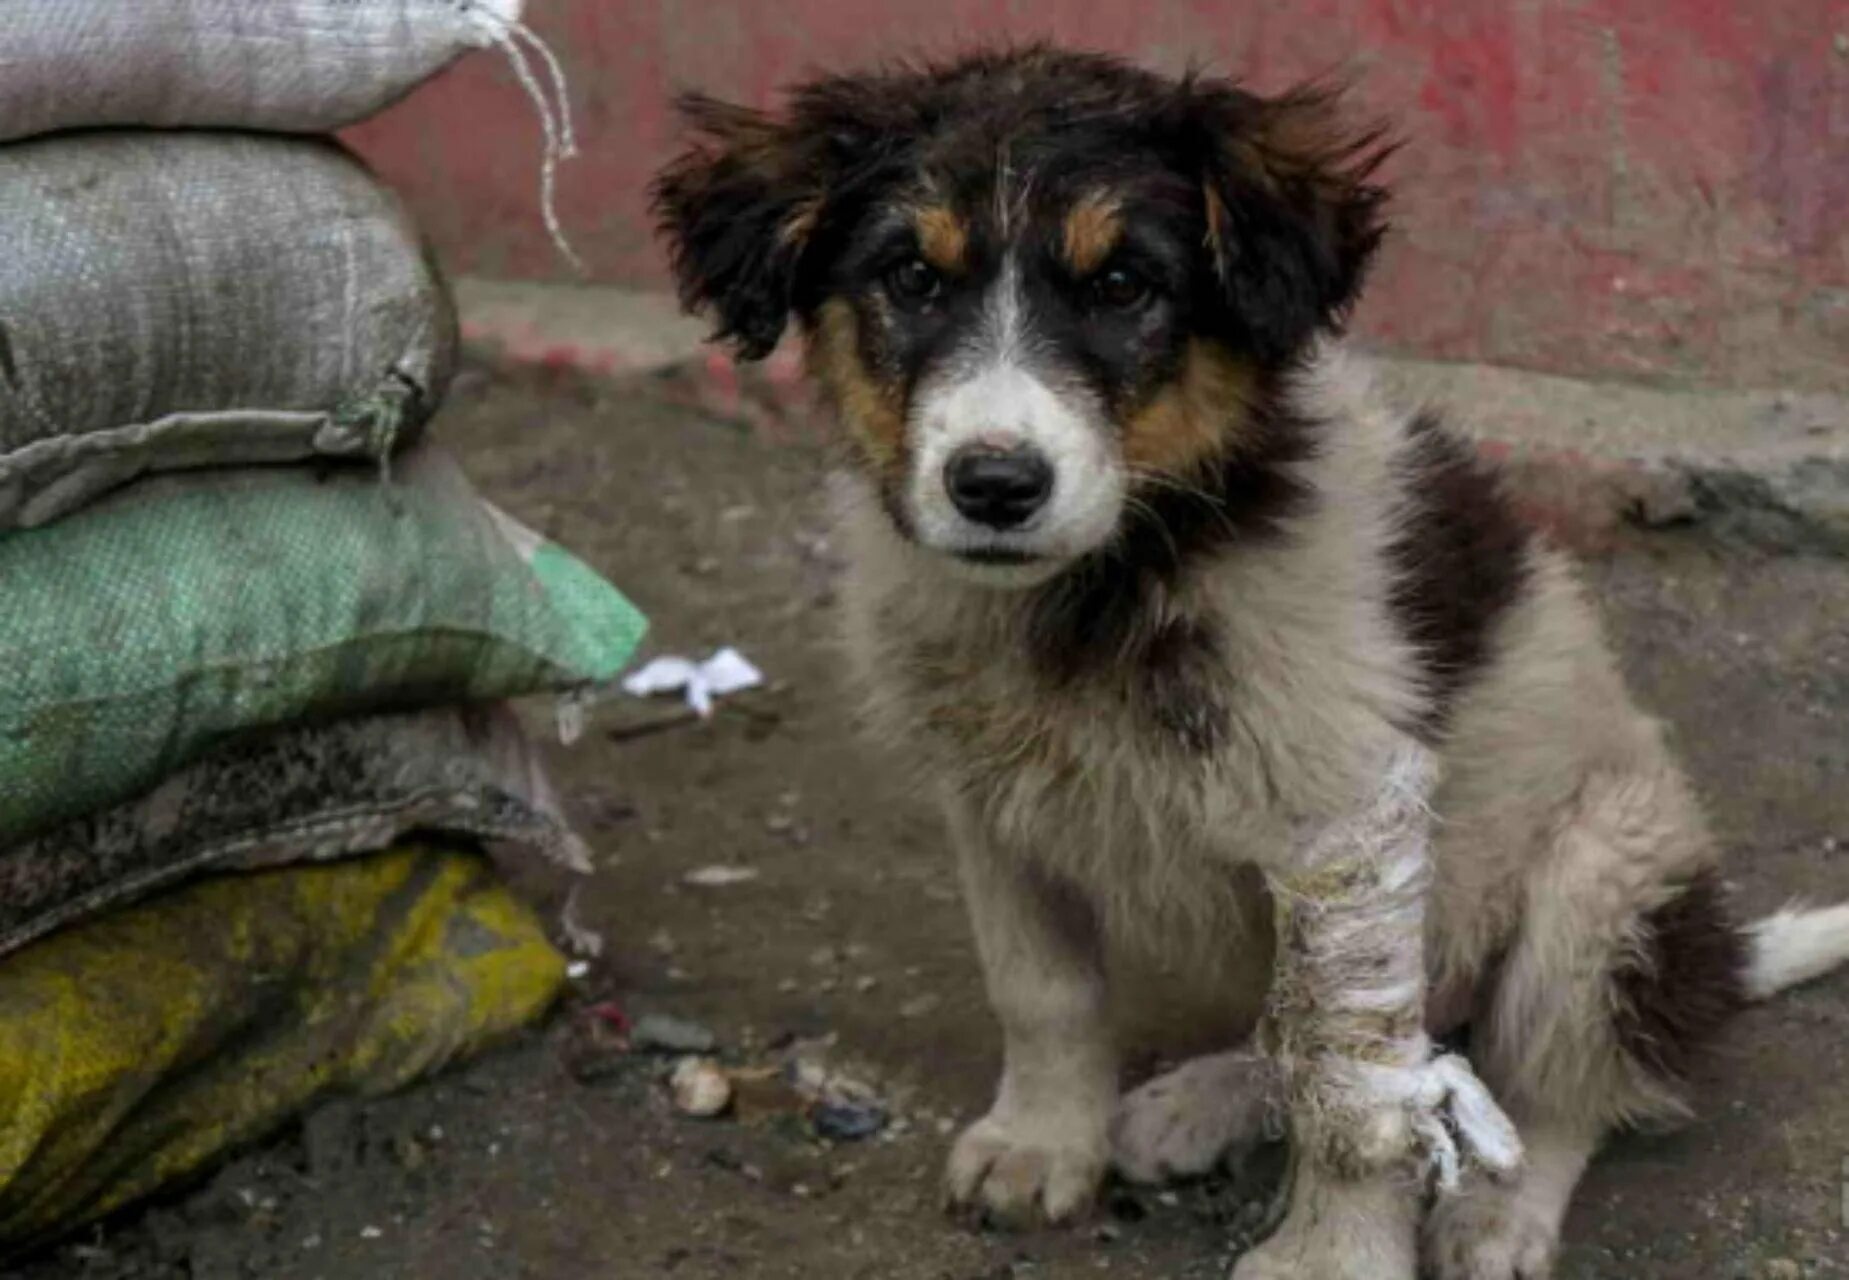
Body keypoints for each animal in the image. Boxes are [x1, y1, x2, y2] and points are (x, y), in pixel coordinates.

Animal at [654, 47, 1849, 1280]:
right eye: (910, 276)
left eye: (1123, 284)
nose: (994, 485)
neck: (1122, 576)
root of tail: (1719, 958)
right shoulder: (991, 799)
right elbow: (1043, 991)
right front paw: (1042, 1142)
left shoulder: (1349, 822)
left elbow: (1357, 1085)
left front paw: (1333, 1255)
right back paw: (1203, 1100)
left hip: (1609, 880)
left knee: (1559, 1083)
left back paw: (1497, 1209)